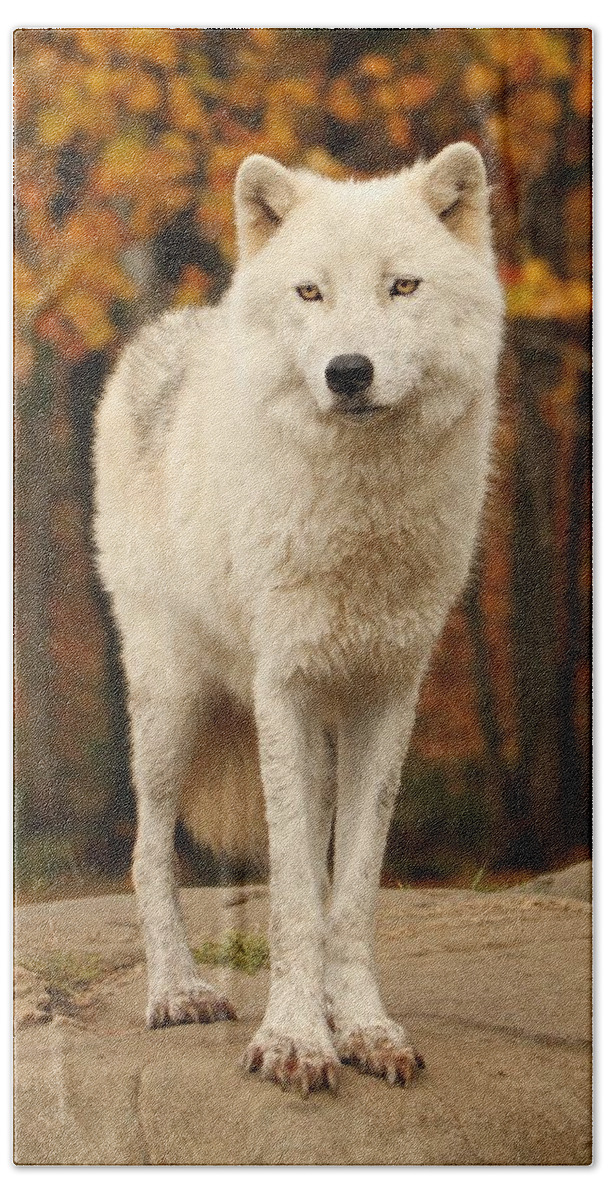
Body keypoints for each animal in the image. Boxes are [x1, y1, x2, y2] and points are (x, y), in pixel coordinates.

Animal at [94, 142, 503, 1099]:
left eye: (402, 286)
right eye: (310, 293)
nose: (347, 372)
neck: (362, 514)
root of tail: (167, 332)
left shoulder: (387, 695)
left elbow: (344, 894)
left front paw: (363, 1030)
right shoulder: (283, 686)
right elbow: (289, 898)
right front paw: (293, 1042)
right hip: (172, 705)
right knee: (147, 851)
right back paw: (177, 992)